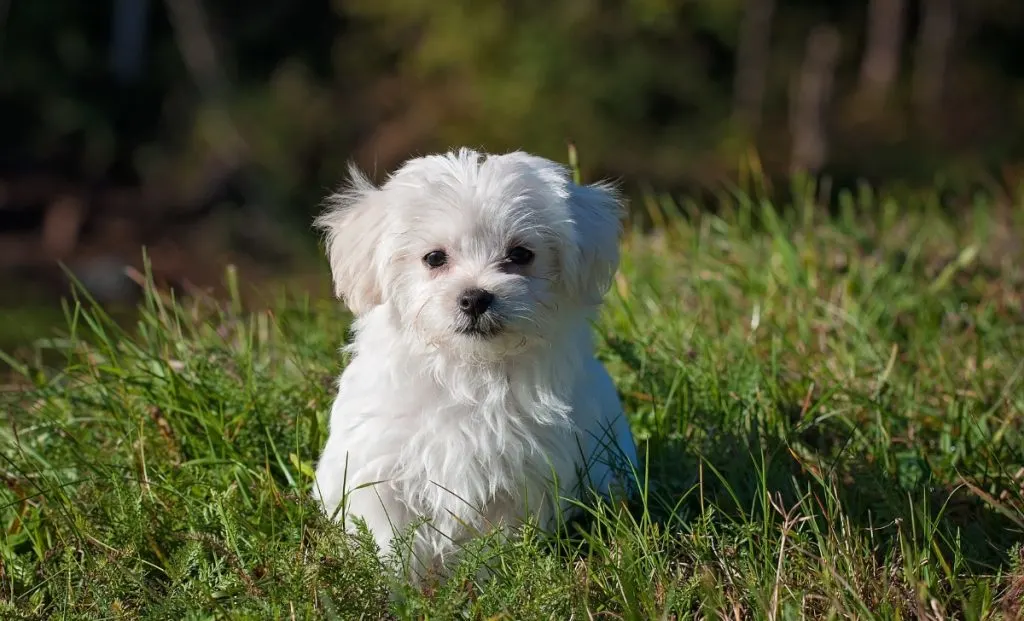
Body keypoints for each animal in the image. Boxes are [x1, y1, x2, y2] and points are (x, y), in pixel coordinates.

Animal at [311, 148, 634, 582]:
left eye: (521, 254)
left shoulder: (521, 478)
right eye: (434, 258)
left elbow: (496, 542)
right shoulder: (380, 469)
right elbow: (389, 538)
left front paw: (484, 582)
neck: (468, 370)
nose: (475, 297)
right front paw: (396, 586)